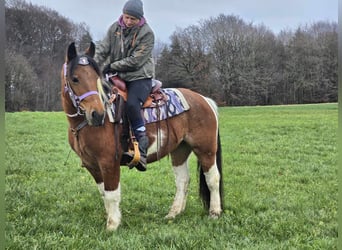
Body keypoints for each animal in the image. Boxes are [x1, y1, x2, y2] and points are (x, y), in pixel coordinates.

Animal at [60, 42, 223, 231]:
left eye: (96, 78)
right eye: (75, 79)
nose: (97, 114)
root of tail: (204, 99)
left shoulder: (109, 163)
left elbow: (112, 194)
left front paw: (112, 225)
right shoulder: (92, 165)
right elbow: (104, 194)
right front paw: (111, 218)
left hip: (206, 150)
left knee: (212, 179)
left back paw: (214, 213)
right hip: (180, 150)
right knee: (183, 180)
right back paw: (173, 213)